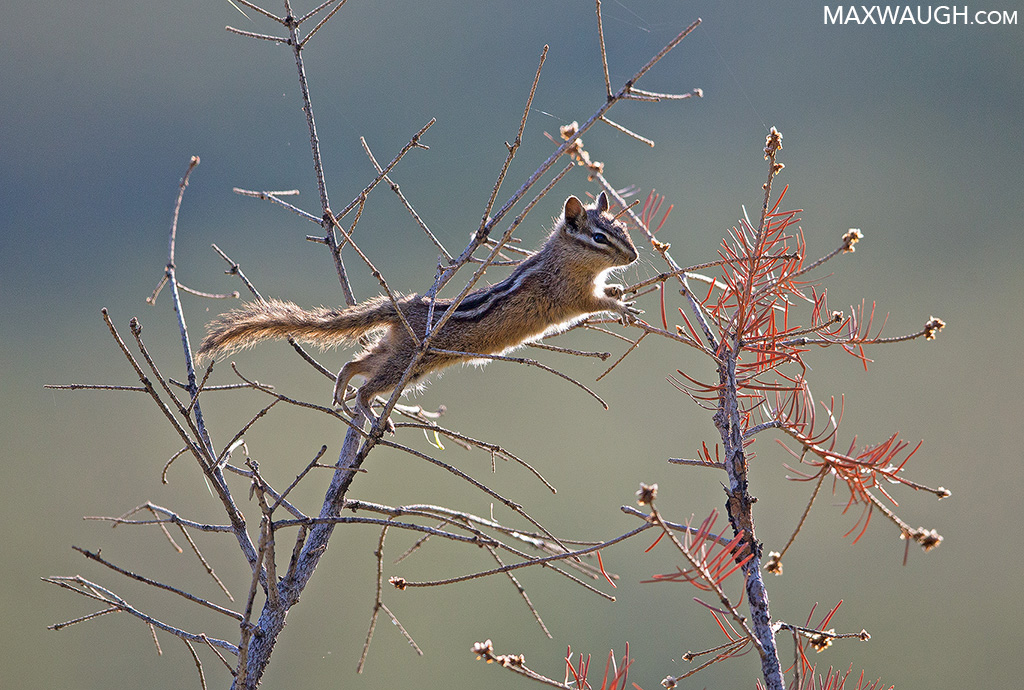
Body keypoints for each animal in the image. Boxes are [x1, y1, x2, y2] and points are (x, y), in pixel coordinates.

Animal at [196, 192, 640, 430]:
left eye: (624, 230)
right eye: (600, 237)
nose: (635, 255)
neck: (566, 258)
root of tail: (403, 307)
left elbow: (604, 291)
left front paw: (619, 288)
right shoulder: (571, 294)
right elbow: (594, 303)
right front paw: (621, 305)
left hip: (402, 355)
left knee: (358, 363)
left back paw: (342, 386)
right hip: (408, 362)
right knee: (369, 385)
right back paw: (368, 410)